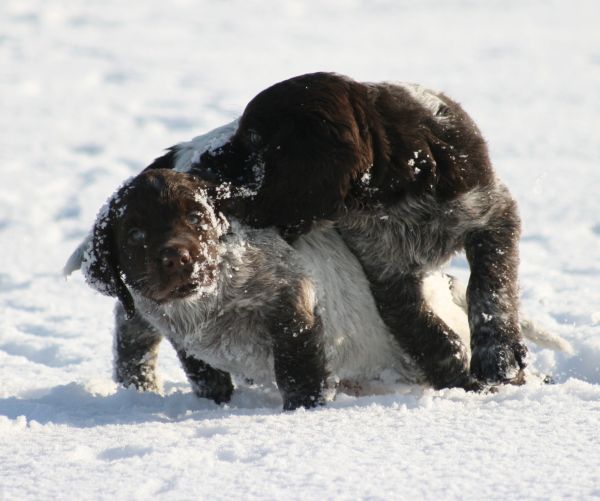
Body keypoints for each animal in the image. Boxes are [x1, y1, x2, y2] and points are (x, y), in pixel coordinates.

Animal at [65, 169, 568, 410]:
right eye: (135, 233)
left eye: (196, 216)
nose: (178, 257)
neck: (207, 303)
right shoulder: (175, 328)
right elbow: (202, 370)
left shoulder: (289, 298)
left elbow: (297, 367)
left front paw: (303, 415)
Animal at [154, 72, 524, 388]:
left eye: (255, 138)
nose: (201, 163)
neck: (399, 179)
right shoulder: (386, 270)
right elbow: (420, 326)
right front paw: (456, 373)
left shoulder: (493, 212)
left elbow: (490, 286)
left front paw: (499, 356)